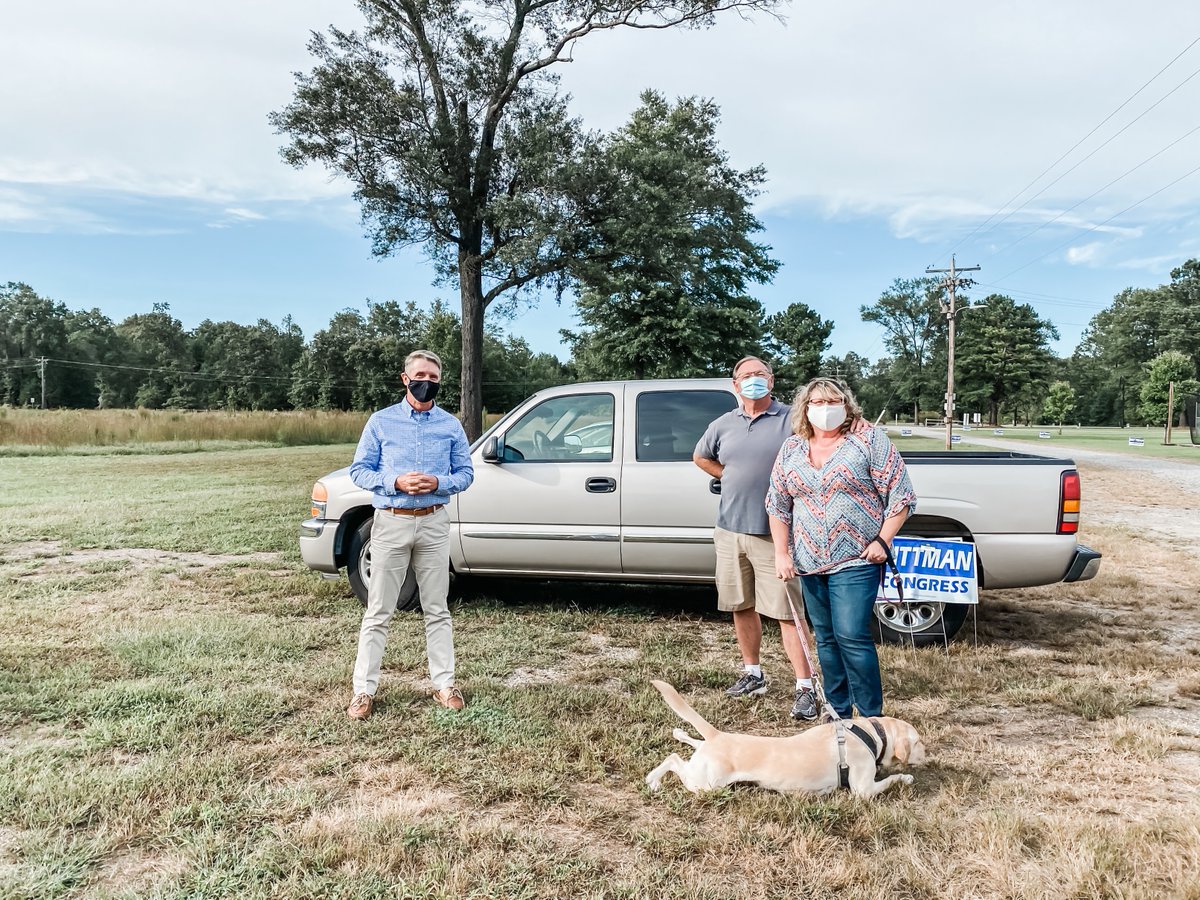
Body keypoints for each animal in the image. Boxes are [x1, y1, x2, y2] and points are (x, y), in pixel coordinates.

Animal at [645, 680, 926, 799]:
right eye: (919, 742)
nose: (928, 754)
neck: (871, 733)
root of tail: (717, 735)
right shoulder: (864, 789)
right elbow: (891, 779)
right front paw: (906, 778)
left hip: (704, 760)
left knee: (691, 743)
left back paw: (680, 734)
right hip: (706, 783)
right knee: (673, 759)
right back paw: (653, 780)